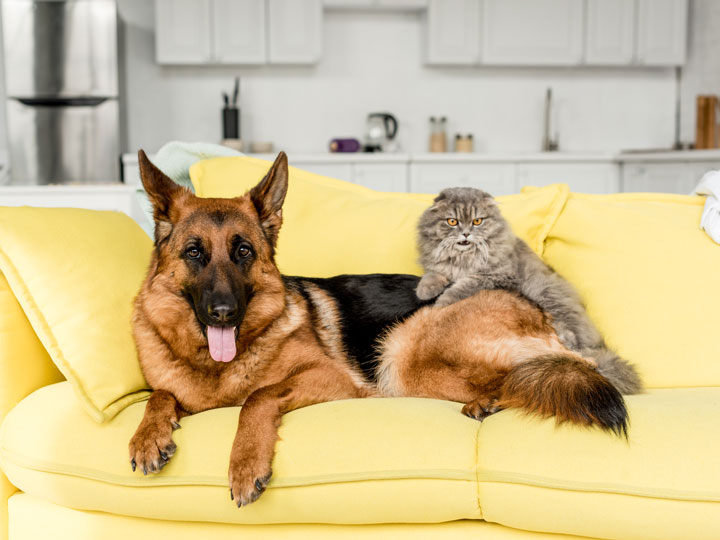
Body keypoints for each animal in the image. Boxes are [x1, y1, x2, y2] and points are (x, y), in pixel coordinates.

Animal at [416, 188, 640, 394]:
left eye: (477, 221)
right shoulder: (441, 268)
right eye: (452, 222)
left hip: (549, 300)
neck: (464, 257)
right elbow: (435, 275)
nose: (465, 233)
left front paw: (442, 302)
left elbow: (463, 285)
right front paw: (424, 290)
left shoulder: (498, 275)